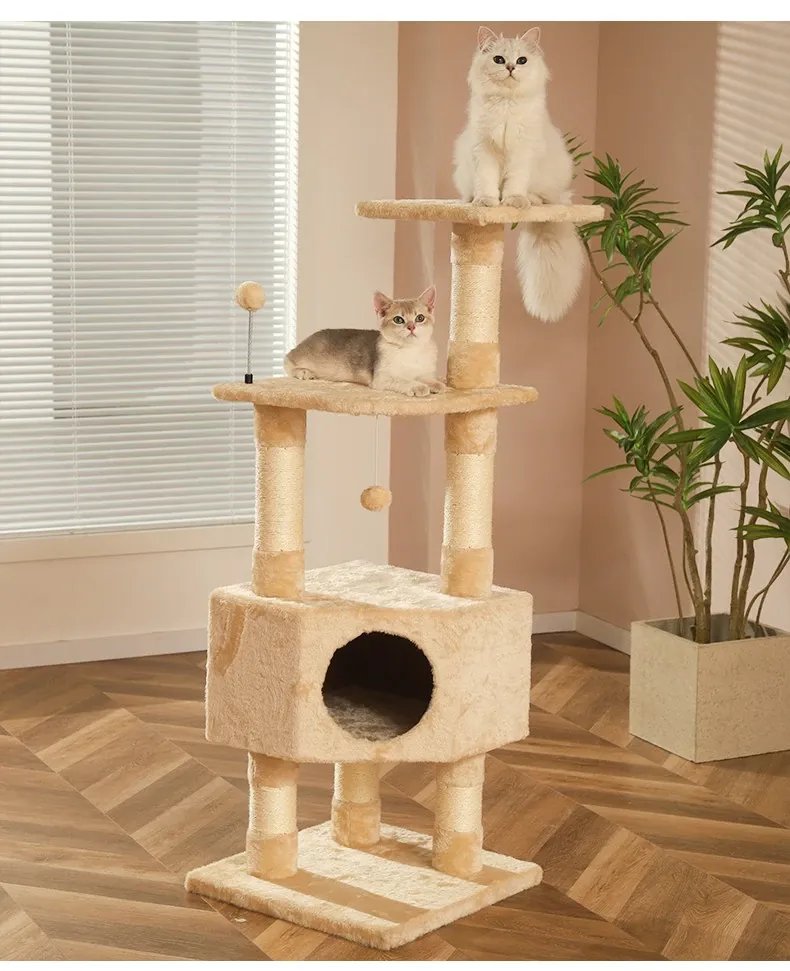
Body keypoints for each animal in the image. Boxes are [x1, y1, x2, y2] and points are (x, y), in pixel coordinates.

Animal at [284, 286, 445, 397]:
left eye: (420, 318)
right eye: (398, 319)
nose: (411, 327)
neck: (411, 350)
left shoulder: (424, 371)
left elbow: (426, 378)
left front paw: (437, 385)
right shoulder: (382, 378)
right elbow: (404, 380)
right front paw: (419, 387)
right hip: (300, 357)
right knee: (287, 362)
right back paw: (304, 372)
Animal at [452, 26, 584, 323]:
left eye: (522, 60)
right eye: (499, 60)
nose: (511, 67)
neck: (506, 105)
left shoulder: (522, 152)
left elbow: (514, 184)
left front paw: (511, 202)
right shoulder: (484, 151)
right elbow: (488, 184)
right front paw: (487, 204)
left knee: (543, 197)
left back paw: (529, 202)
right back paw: (471, 200)